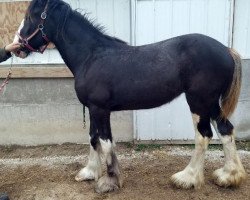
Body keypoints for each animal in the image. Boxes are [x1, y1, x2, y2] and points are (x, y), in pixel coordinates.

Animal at [17, 0, 246, 194]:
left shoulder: (100, 109)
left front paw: (109, 182)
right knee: (225, 130)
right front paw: (90, 172)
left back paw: (187, 178)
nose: (17, 45)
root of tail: (227, 50)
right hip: (211, 103)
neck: (91, 56)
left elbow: (105, 141)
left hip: (199, 102)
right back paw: (229, 176)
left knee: (203, 135)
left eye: (29, 16)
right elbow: (93, 138)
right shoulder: (92, 108)